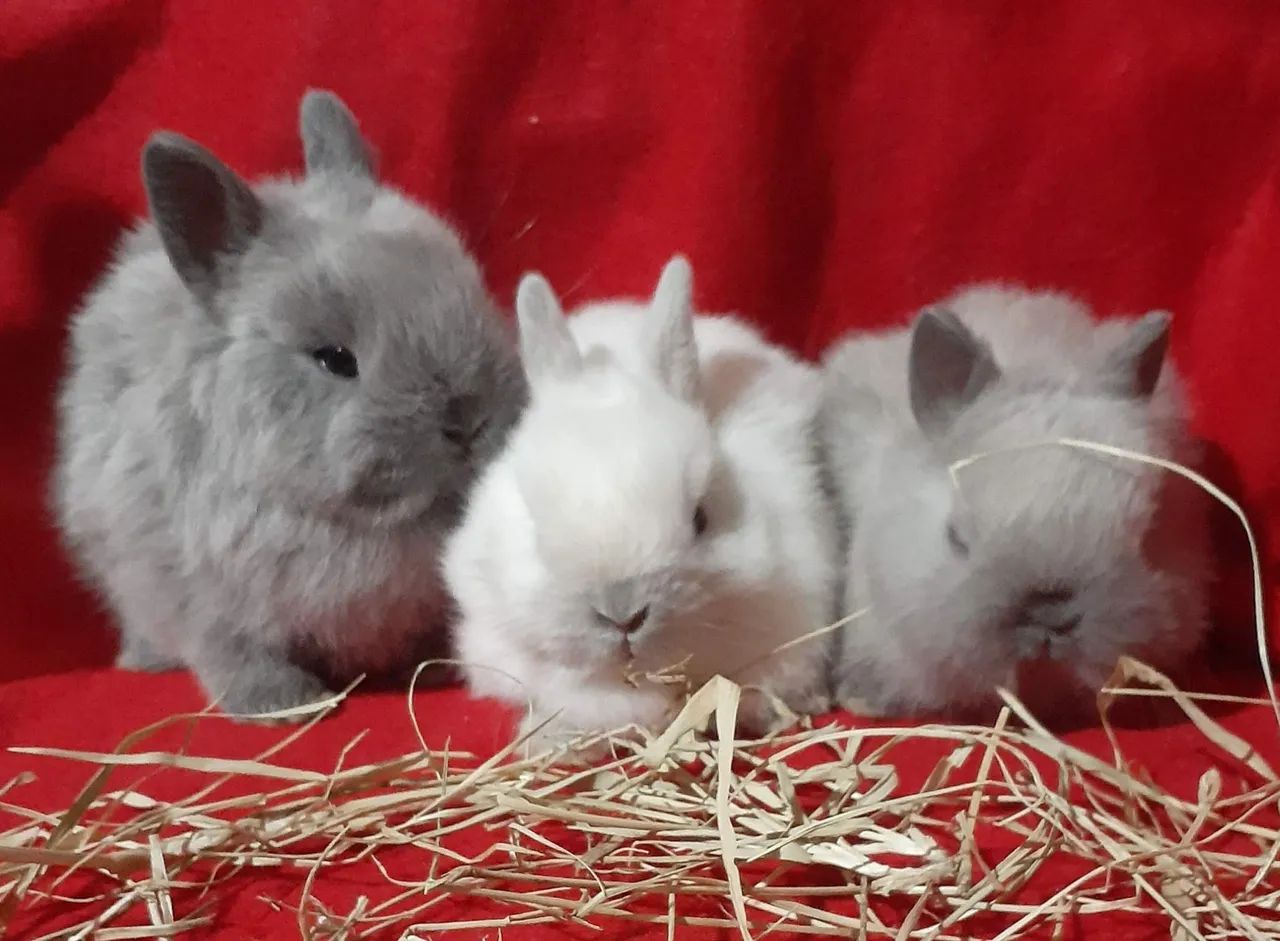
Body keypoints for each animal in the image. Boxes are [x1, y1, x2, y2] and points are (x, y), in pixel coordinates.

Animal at [51, 89, 527, 718]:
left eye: (473, 292)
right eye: (334, 358)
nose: (468, 419)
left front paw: (436, 670)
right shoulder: (197, 593)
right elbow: (232, 650)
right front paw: (281, 705)